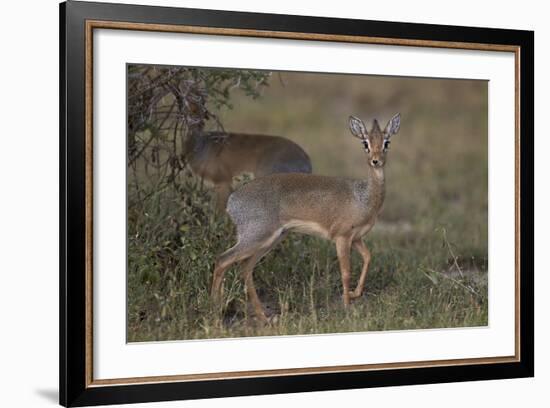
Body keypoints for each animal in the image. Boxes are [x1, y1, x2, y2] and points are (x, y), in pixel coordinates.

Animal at [211, 112, 402, 322]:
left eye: (386, 142)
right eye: (365, 143)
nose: (376, 161)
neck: (363, 197)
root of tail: (232, 201)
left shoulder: (357, 238)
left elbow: (368, 257)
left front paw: (354, 294)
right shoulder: (341, 237)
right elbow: (345, 271)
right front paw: (346, 306)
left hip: (270, 240)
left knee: (245, 267)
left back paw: (262, 315)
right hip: (257, 236)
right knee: (222, 260)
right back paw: (215, 312)